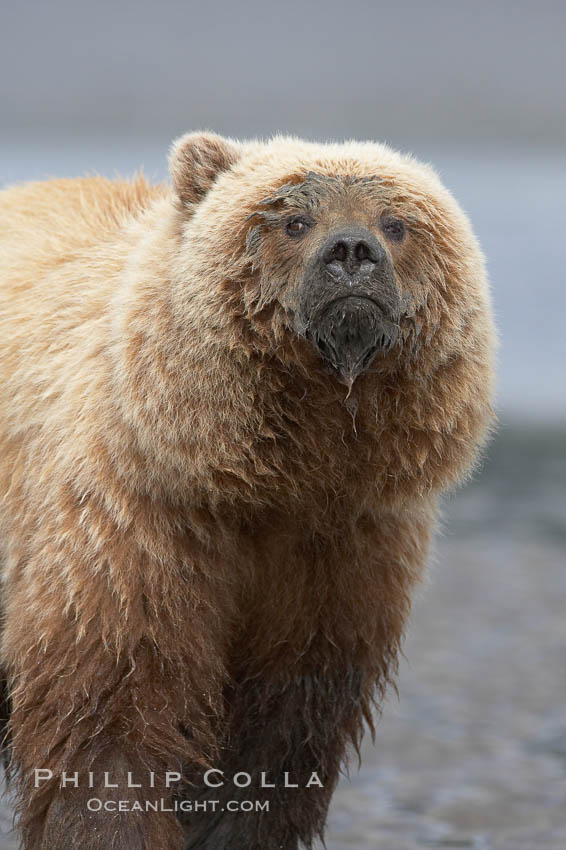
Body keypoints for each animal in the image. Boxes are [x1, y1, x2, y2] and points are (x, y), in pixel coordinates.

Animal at [0, 132, 496, 848]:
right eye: (295, 220)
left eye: (395, 224)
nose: (353, 251)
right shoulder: (138, 526)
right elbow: (115, 706)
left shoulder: (342, 556)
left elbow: (281, 726)